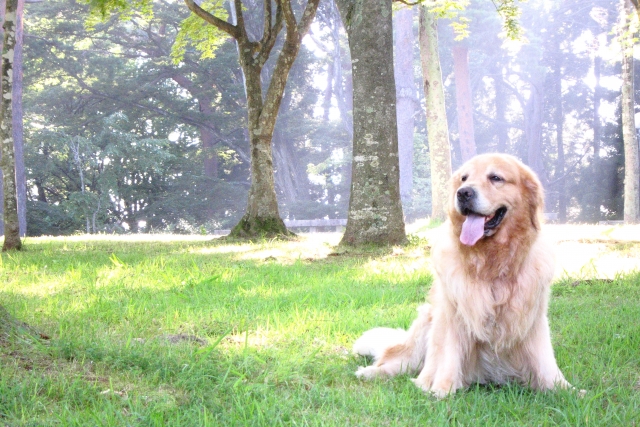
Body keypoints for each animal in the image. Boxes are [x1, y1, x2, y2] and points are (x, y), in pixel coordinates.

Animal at [356, 153, 576, 398]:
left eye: (496, 178)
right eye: (464, 178)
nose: (463, 193)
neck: (492, 262)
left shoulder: (533, 316)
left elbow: (545, 360)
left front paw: (564, 389)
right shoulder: (453, 312)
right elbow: (448, 355)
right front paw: (442, 390)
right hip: (425, 323)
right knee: (398, 360)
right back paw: (372, 372)